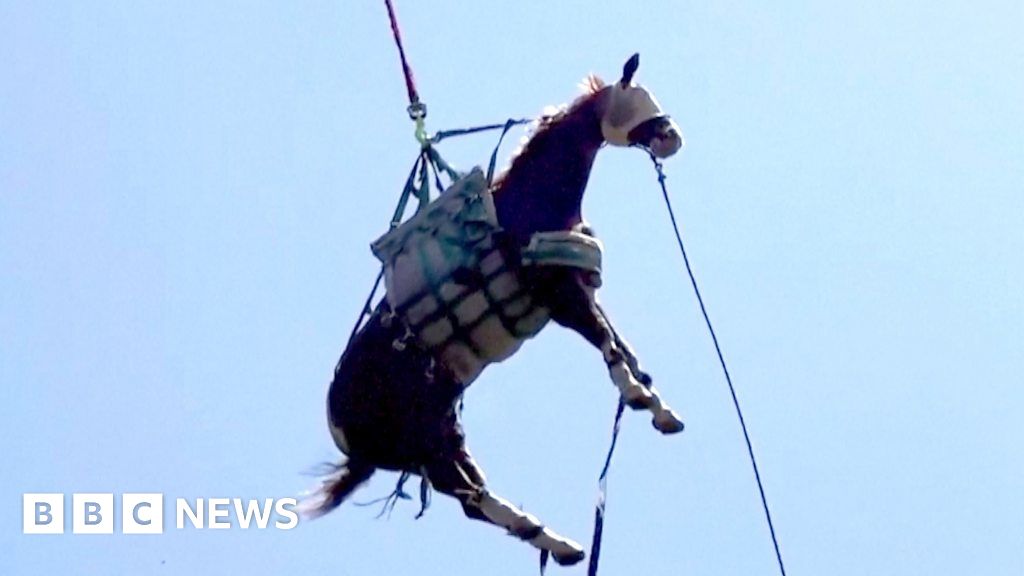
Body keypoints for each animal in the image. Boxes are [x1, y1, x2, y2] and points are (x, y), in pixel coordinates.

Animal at [305, 53, 688, 565]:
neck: (529, 205)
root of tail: (345, 431)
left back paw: (558, 542)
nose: (671, 136)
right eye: (636, 97)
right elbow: (607, 345)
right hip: (427, 447)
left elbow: (621, 345)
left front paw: (656, 404)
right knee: (472, 500)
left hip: (440, 434)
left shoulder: (581, 290)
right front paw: (639, 396)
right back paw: (555, 541)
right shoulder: (560, 297)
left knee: (473, 495)